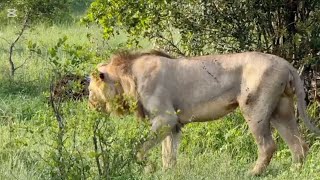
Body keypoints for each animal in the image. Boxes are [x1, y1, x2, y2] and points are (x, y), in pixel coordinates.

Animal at [87, 50, 320, 175]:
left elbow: (140, 149)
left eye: (90, 89)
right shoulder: (173, 124)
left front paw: (150, 168)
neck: (128, 77)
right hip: (282, 111)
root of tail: (286, 63)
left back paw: (252, 173)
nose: (90, 105)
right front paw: (167, 173)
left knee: (268, 146)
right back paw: (294, 172)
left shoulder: (165, 118)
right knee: (299, 145)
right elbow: (168, 153)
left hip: (255, 108)